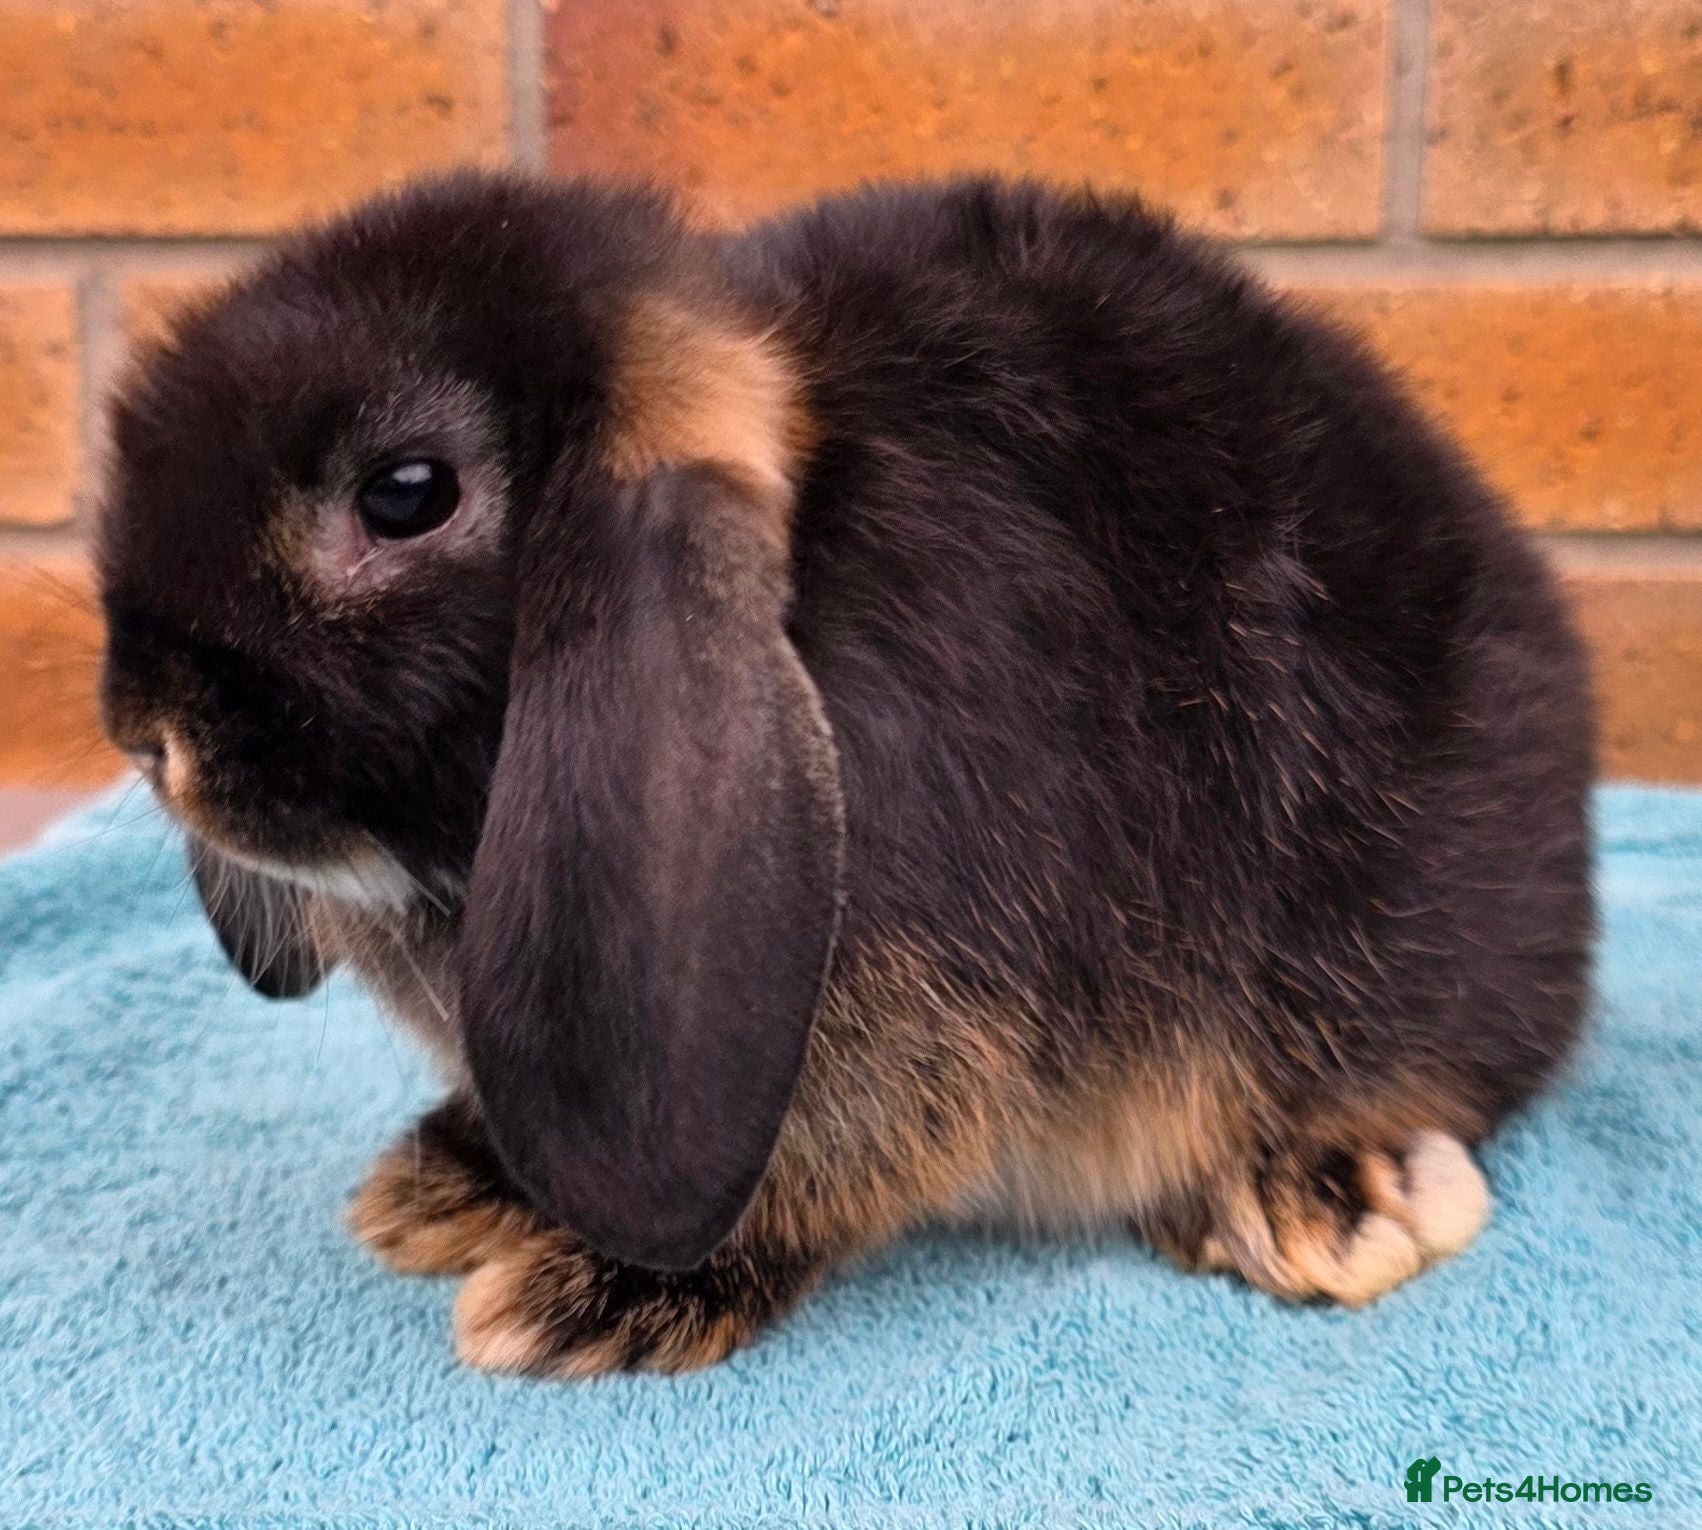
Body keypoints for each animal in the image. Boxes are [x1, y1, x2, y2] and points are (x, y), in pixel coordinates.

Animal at [98, 171, 1593, 1377]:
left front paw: (597, 1296)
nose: (145, 731)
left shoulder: (904, 1023)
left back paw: (1325, 1195)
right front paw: (449, 1180)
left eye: (404, 493)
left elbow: (833, 1165)